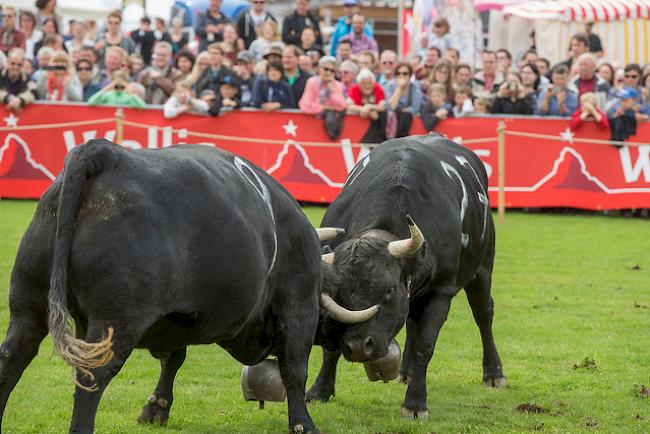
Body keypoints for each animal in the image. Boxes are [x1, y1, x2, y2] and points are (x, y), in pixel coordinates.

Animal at [306, 135, 504, 420]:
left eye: (389, 290)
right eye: (340, 293)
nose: (358, 346)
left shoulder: (441, 291)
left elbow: (425, 345)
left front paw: (415, 403)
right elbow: (330, 349)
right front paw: (320, 390)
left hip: (482, 269)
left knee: (483, 314)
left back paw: (493, 373)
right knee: (412, 321)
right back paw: (405, 372)